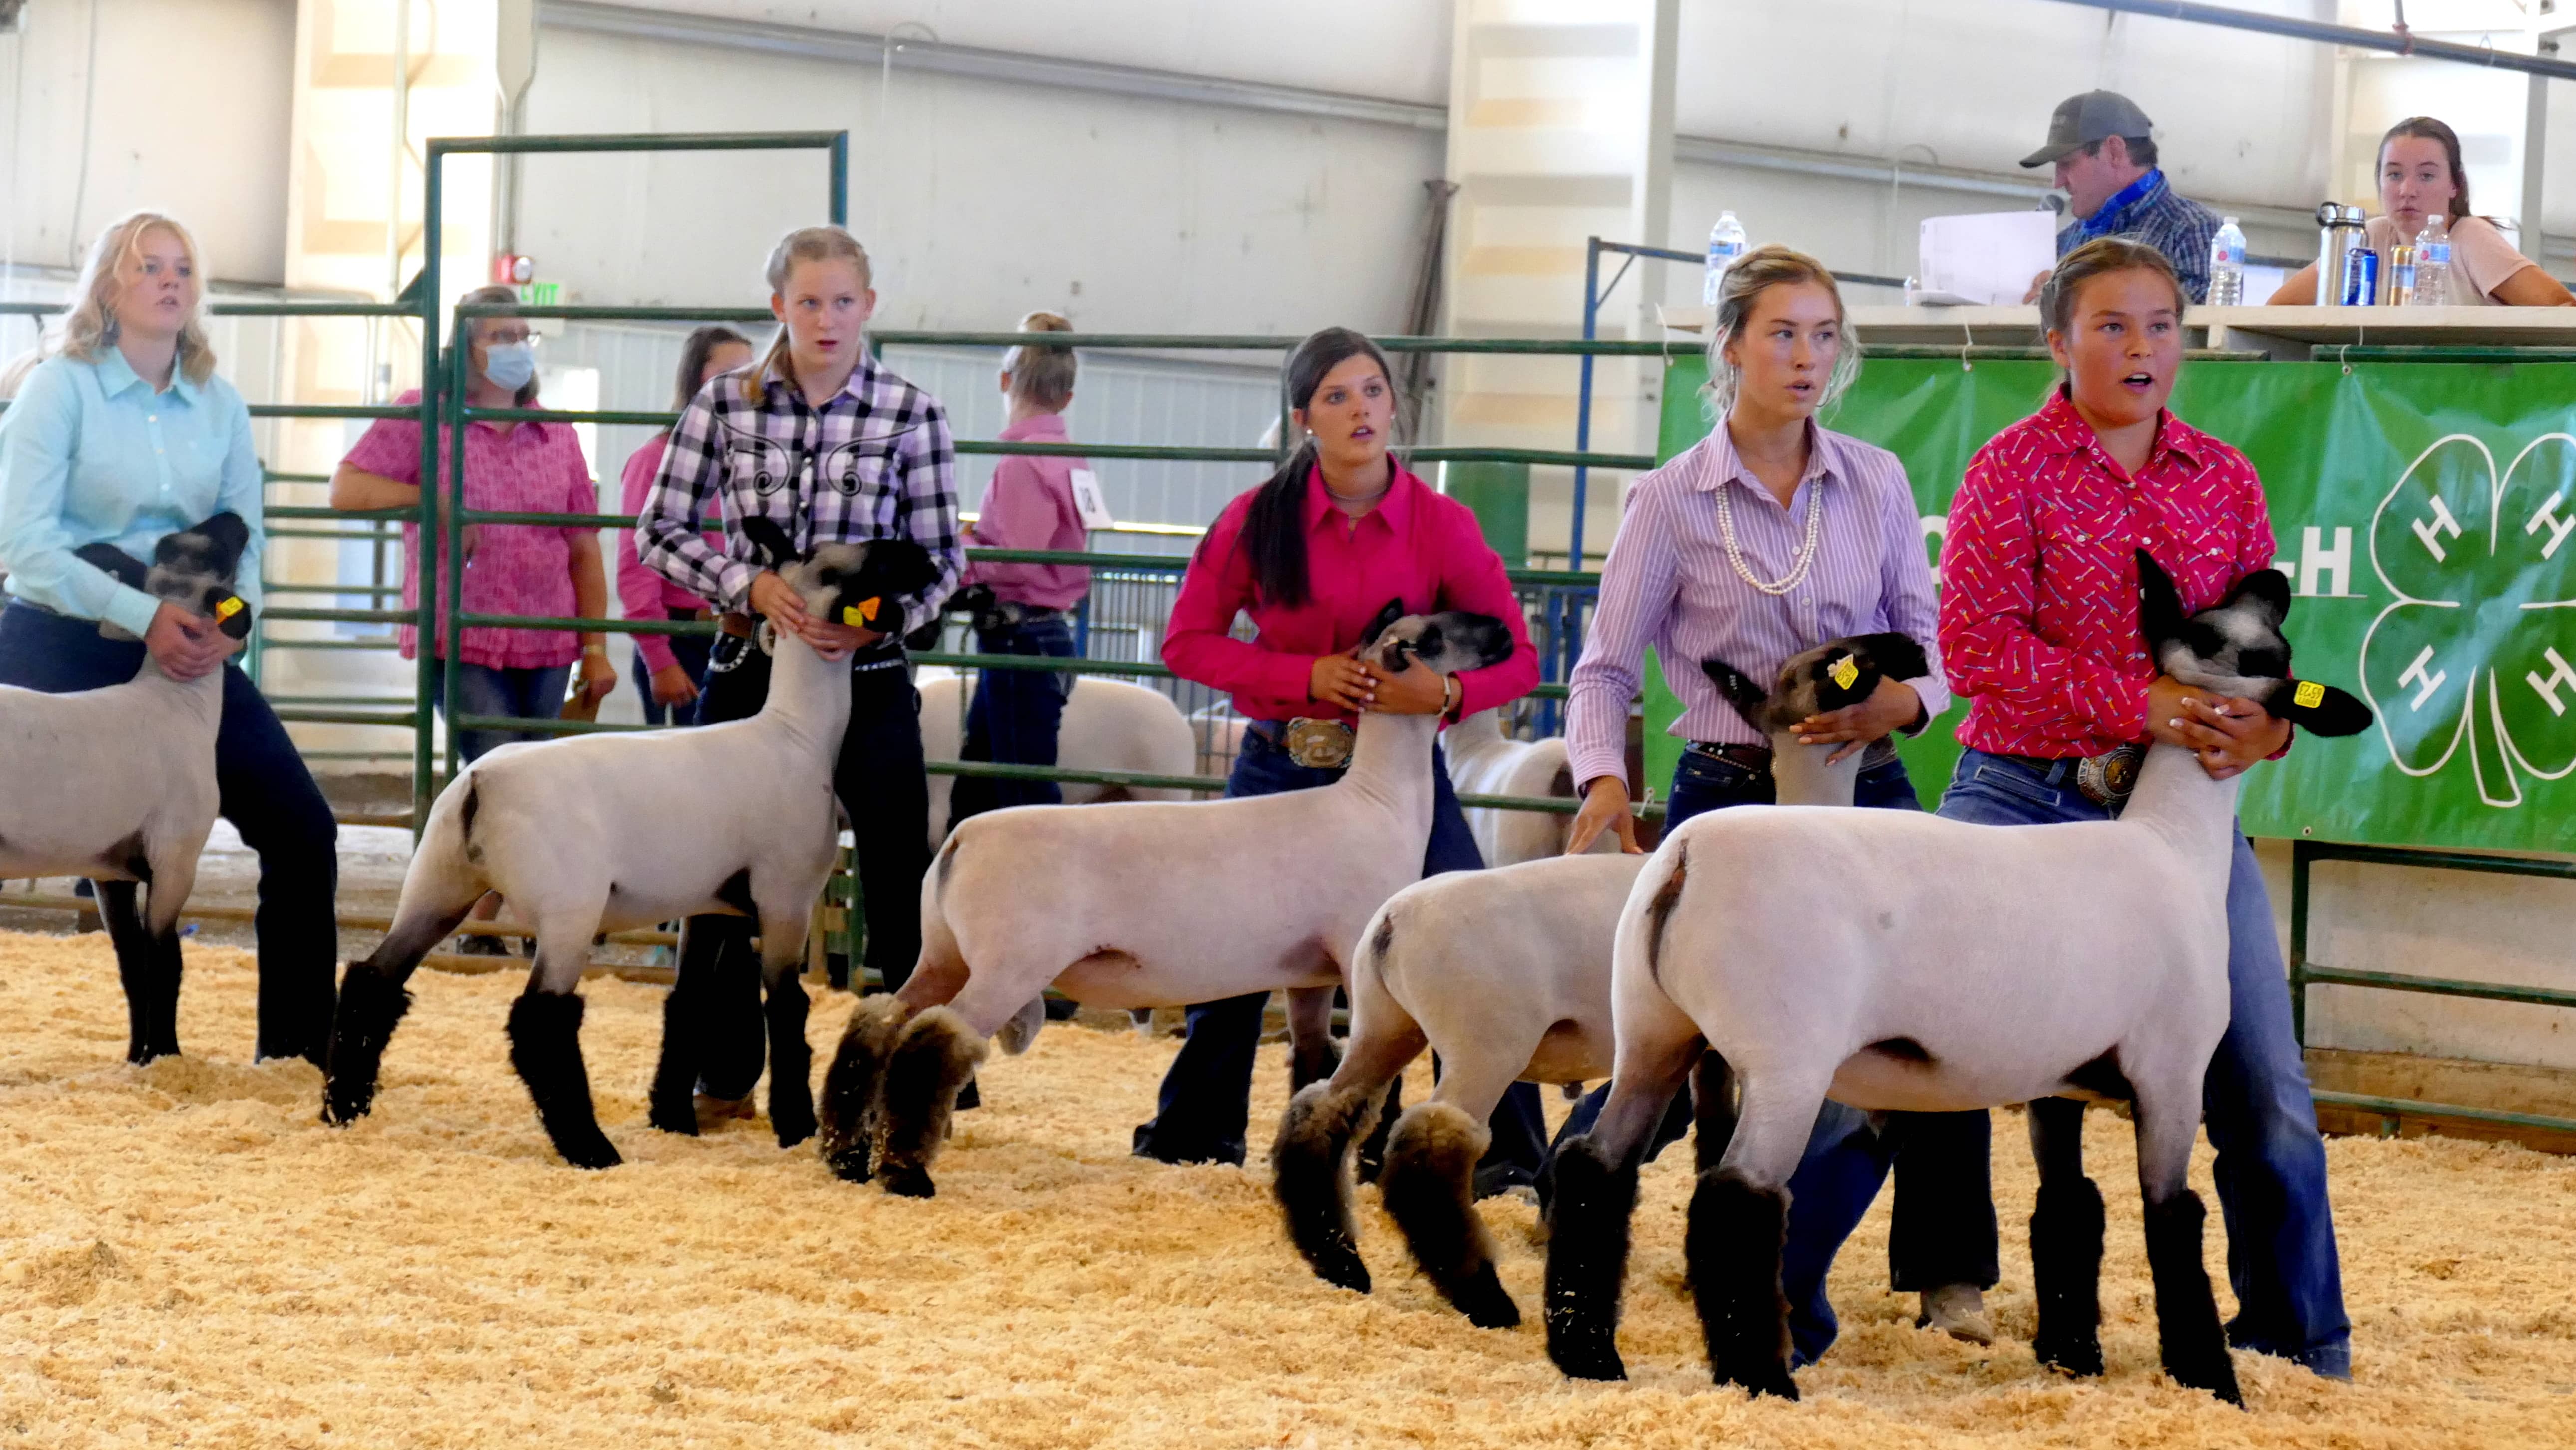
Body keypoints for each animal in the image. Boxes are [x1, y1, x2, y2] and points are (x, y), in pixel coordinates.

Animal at [0, 512, 256, 1066]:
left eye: (173, 544)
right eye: (215, 552)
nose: (236, 518)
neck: (178, 701)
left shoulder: (109, 871)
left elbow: (132, 968)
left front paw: (137, 1056)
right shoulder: (176, 859)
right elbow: (166, 961)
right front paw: (166, 1056)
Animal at [315, 522, 932, 1169]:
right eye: (847, 565)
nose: (927, 558)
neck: (799, 732)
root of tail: (480, 784)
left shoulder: (710, 904)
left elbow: (689, 1003)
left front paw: (673, 1117)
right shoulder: (785, 897)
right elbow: (786, 1008)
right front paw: (796, 1124)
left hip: (437, 886)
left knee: (371, 979)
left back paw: (345, 1108)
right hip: (569, 909)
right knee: (540, 1018)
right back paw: (590, 1146)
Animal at [814, 602, 1514, 1205]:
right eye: (1430, 636)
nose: (1505, 630)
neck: (1378, 803)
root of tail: (962, 838)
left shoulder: (1310, 976)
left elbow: (1312, 1062)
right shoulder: (1356, 964)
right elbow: (1377, 1079)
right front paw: (1365, 1169)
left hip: (945, 955)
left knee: (880, 1022)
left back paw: (845, 1155)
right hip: (1006, 965)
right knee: (932, 1044)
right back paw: (906, 1174)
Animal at [1277, 633, 1927, 1329]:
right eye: (1826, 661)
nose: (1912, 649)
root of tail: (1391, 922)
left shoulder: (1708, 1047)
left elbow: (1713, 1135)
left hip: (1384, 1023)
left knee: (1322, 1111)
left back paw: (1341, 1265)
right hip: (1483, 1044)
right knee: (1426, 1150)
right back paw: (1486, 1299)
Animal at [1525, 556, 2370, 1411]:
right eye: (2261, 650)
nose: (2274, 578)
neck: (2172, 845)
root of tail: (1684, 855)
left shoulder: (2058, 1081)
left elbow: (2069, 1207)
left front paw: (2071, 1357)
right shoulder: (2169, 1073)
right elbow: (2173, 1216)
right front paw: (2208, 1377)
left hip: (1654, 1033)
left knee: (1598, 1166)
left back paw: (1587, 1352)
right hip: (1784, 1061)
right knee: (1736, 1195)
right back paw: (1759, 1378)